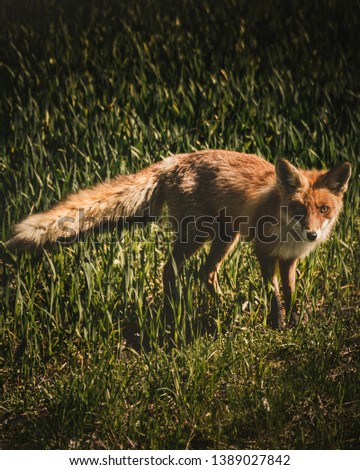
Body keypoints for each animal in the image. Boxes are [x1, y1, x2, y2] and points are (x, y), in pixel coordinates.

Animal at [6, 151, 352, 326]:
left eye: (323, 209)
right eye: (298, 208)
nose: (312, 233)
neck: (287, 230)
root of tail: (172, 160)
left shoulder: (289, 258)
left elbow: (291, 292)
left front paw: (294, 323)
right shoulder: (264, 252)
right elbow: (275, 294)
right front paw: (277, 324)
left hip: (225, 237)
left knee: (205, 273)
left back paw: (223, 306)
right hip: (199, 234)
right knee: (170, 269)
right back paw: (173, 310)